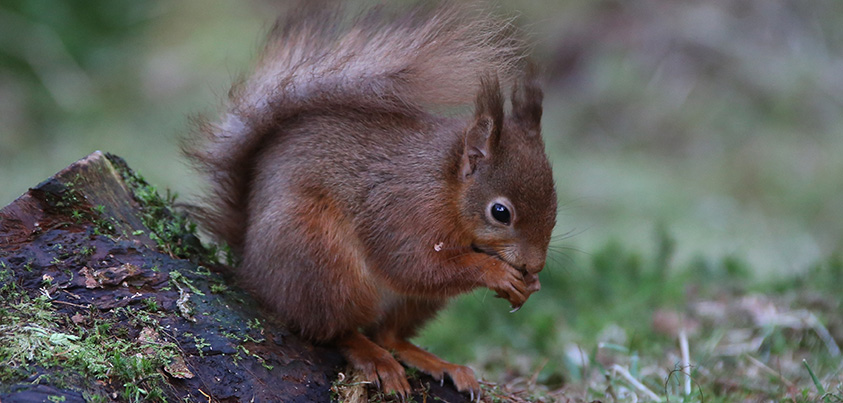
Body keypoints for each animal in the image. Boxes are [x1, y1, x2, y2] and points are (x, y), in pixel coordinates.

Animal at [183, 2, 557, 399]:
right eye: (500, 212)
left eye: (555, 204)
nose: (535, 264)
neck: (444, 187)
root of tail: (252, 264)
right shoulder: (401, 211)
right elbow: (414, 266)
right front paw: (497, 273)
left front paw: (530, 286)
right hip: (321, 260)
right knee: (333, 329)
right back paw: (373, 358)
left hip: (411, 301)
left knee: (389, 333)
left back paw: (436, 362)